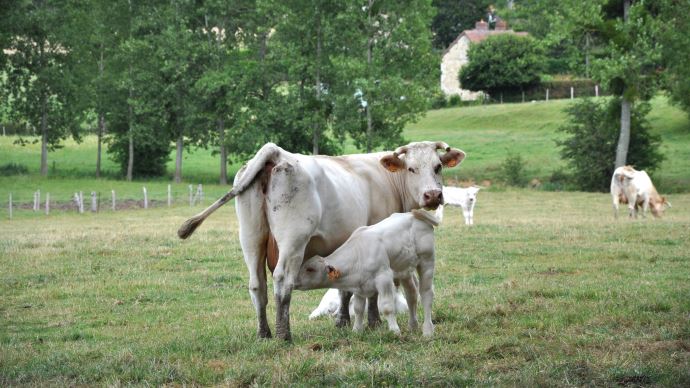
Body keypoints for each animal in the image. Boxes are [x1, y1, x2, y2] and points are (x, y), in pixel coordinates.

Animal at [294, 209, 436, 336]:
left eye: (310, 269)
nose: (294, 281)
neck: (359, 253)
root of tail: (413, 214)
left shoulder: (384, 278)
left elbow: (387, 307)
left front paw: (394, 331)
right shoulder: (359, 287)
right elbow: (358, 309)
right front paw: (357, 330)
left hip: (427, 261)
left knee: (426, 294)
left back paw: (428, 330)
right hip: (404, 269)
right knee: (411, 294)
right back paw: (412, 326)